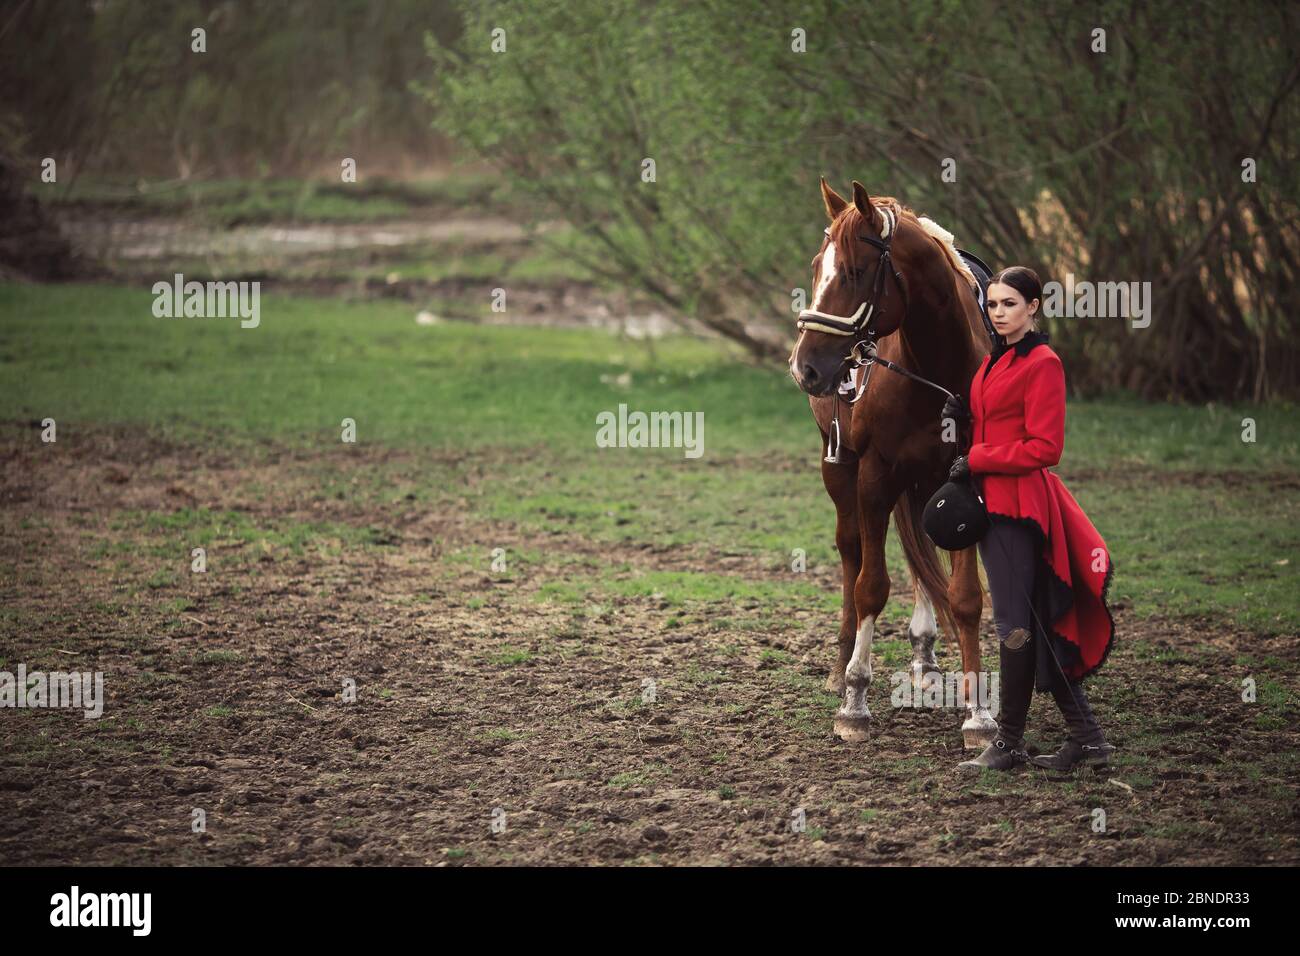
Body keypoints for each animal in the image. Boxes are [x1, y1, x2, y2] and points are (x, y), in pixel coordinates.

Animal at [788, 178, 997, 749]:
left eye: (855, 271)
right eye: (816, 267)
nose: (804, 365)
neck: (936, 370)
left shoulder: (963, 482)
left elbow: (965, 596)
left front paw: (978, 714)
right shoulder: (874, 476)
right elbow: (870, 586)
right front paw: (854, 701)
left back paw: (924, 653)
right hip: (839, 468)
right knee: (852, 551)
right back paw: (841, 666)